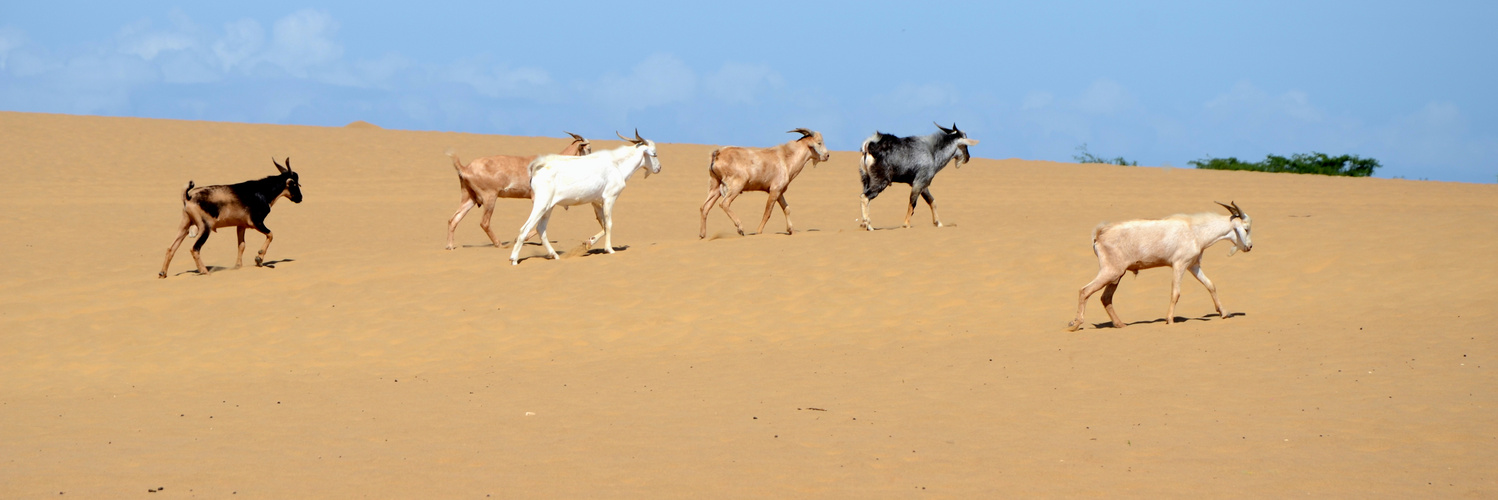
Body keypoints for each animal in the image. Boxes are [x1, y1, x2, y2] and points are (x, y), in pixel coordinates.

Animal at [159, 157, 302, 279]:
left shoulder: (241, 226)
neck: (261, 191)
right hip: (205, 228)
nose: (300, 198)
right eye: (295, 184)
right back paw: (204, 271)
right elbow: (271, 234)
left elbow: (241, 245)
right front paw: (259, 259)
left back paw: (162, 273)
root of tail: (188, 196)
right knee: (194, 248)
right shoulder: (256, 222)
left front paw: (238, 266)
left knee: (171, 248)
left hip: (184, 226)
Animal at [443, 130, 590, 248]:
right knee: (484, 223)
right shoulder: (537, 198)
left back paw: (450, 246)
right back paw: (499, 244)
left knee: (453, 219)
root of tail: (465, 168)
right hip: (489, 197)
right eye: (588, 148)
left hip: (470, 198)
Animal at [509, 130, 662, 267]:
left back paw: (555, 255)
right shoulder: (610, 198)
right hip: (541, 205)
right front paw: (610, 249)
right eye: (654, 153)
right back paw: (514, 259)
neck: (616, 164)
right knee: (524, 229)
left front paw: (589, 243)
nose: (659, 168)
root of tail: (538, 168)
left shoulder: (596, 202)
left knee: (541, 229)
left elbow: (603, 225)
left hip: (549, 207)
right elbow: (609, 223)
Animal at [698, 128, 832, 238]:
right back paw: (740, 228)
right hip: (736, 186)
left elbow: (787, 209)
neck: (786, 159)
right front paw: (758, 232)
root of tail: (717, 154)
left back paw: (702, 235)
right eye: (819, 142)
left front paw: (791, 230)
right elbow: (768, 212)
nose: (827, 155)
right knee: (724, 203)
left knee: (704, 207)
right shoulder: (774, 190)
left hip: (715, 187)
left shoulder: (779, 192)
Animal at [1066, 200, 1252, 329]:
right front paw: (1169, 320)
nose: (1249, 247)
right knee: (1084, 290)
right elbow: (1176, 293)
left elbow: (1211, 285)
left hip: (1117, 274)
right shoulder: (1179, 264)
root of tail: (1099, 234)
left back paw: (1120, 324)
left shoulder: (1193, 265)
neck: (1195, 230)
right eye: (1246, 228)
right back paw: (1075, 324)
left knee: (1105, 298)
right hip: (1111, 271)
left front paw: (1224, 312)